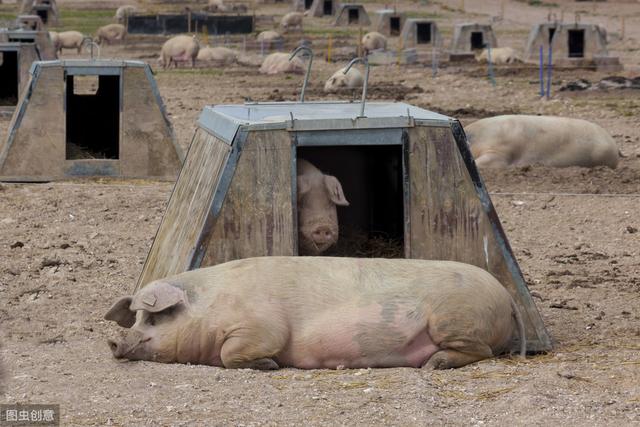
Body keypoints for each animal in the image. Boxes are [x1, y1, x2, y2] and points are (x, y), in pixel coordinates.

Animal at [105, 258, 524, 372]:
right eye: (135, 320)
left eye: (154, 319)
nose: (114, 342)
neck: (210, 307)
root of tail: (506, 296)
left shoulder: (261, 327)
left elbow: (231, 353)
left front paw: (271, 365)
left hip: (455, 320)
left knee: (483, 352)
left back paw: (434, 364)